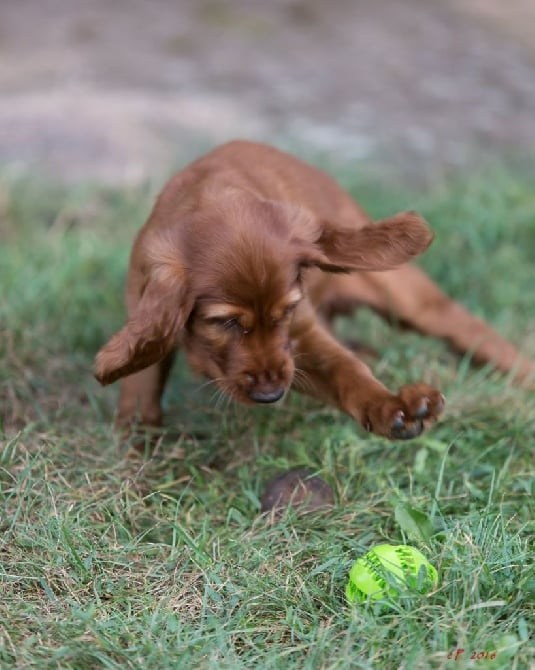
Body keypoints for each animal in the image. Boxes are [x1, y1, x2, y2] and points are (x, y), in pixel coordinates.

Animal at [94, 140, 532, 440]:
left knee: (469, 330)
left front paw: (392, 407)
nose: (271, 396)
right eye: (225, 322)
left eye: (286, 312)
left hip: (409, 298)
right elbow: (140, 391)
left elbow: (346, 371)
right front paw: (139, 461)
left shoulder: (299, 339)